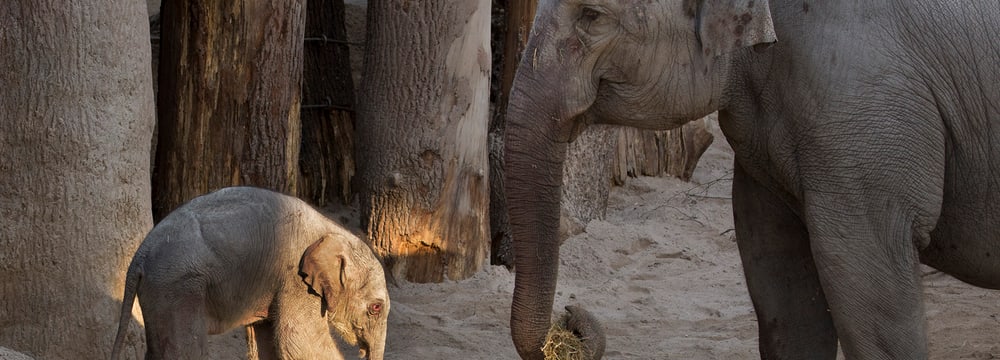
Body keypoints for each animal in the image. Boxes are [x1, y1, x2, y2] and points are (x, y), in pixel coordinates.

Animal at [109, 187, 388, 360]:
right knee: (183, 351)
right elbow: (299, 341)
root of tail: (141, 253)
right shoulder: (295, 281)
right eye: (375, 308)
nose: (364, 351)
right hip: (177, 287)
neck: (332, 229)